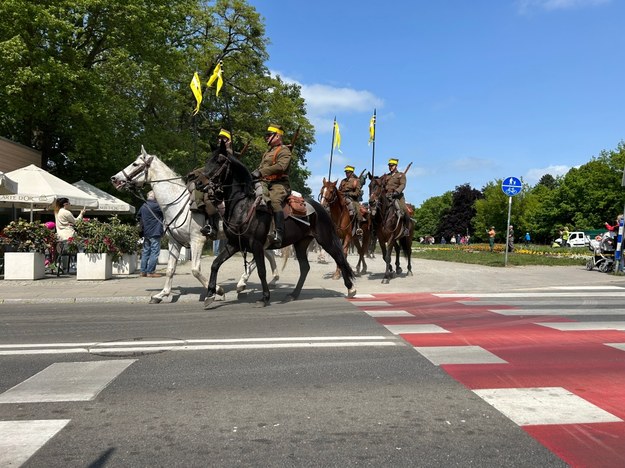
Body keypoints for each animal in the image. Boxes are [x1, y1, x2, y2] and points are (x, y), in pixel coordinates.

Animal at [111, 148, 276, 306]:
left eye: (135, 164)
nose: (114, 179)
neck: (176, 204)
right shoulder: (174, 242)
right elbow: (170, 270)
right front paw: (161, 295)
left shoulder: (197, 240)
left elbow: (195, 270)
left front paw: (217, 290)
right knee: (267, 255)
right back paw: (265, 280)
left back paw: (247, 282)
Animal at [201, 144, 356, 308]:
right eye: (208, 160)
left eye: (219, 161)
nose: (199, 183)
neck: (243, 206)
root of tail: (321, 208)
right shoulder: (234, 244)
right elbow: (215, 264)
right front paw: (210, 295)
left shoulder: (256, 245)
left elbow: (261, 271)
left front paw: (264, 297)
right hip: (301, 244)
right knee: (305, 267)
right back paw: (293, 294)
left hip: (325, 240)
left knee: (339, 258)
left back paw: (351, 288)